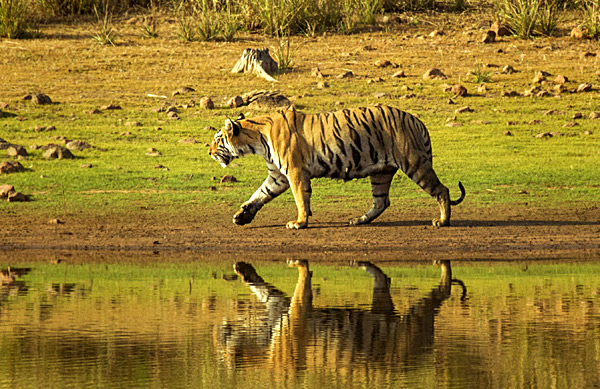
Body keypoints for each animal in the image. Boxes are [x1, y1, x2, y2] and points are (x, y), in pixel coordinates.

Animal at [209, 104, 466, 229]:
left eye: (217, 139)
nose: (209, 152)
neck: (256, 140)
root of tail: (417, 119)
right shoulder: (277, 175)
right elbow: (260, 194)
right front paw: (242, 215)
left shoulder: (295, 172)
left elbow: (300, 199)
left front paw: (299, 223)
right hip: (381, 172)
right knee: (381, 202)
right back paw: (359, 220)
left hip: (414, 163)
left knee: (442, 190)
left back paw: (442, 222)